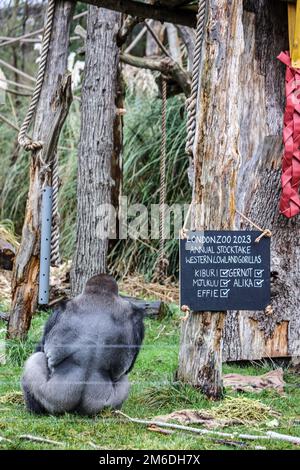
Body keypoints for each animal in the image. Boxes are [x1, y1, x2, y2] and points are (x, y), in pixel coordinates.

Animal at [21, 274, 145, 416]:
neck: (100, 297)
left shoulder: (59, 309)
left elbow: (41, 348)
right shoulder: (136, 319)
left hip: (54, 399)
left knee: (35, 360)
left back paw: (34, 410)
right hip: (103, 406)